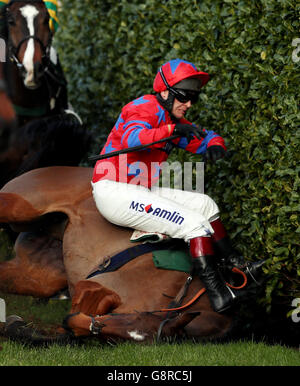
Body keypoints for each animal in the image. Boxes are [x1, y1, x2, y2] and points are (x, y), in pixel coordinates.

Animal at [0, 166, 260, 344]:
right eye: (132, 318)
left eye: (119, 336)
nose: (72, 322)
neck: (184, 291)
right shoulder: (95, 286)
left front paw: (20, 327)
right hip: (18, 207)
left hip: (40, 274)